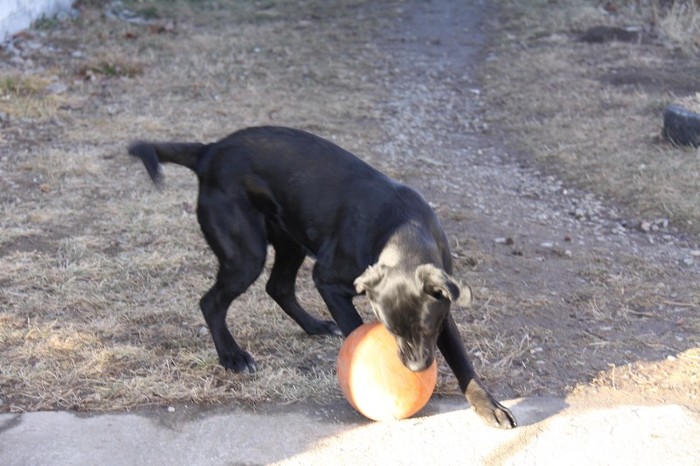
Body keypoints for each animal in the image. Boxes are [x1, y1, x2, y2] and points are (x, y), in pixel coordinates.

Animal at [130, 125, 516, 428]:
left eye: (427, 329)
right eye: (389, 330)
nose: (417, 367)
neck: (403, 228)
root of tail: (209, 151)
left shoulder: (443, 308)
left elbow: (464, 363)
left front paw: (489, 406)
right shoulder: (328, 282)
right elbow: (354, 330)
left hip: (289, 240)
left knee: (278, 287)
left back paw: (313, 326)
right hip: (246, 256)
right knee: (212, 302)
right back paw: (233, 357)